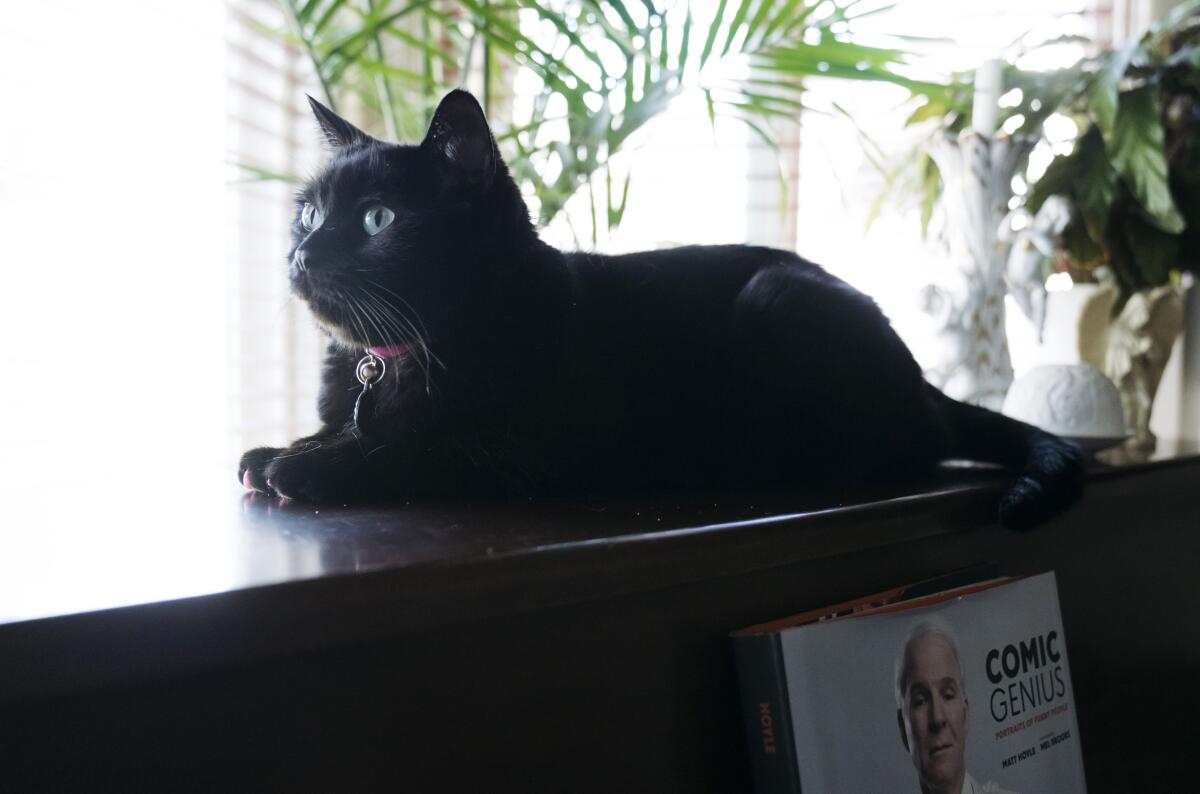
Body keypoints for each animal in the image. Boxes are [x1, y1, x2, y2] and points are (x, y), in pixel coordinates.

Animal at [238, 89, 1084, 532]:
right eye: (309, 214)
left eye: (378, 219)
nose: (300, 254)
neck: (395, 357)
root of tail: (921, 377)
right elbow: (355, 429)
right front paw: (286, 444)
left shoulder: (525, 451)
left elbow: (413, 447)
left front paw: (305, 465)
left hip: (780, 305)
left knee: (909, 447)